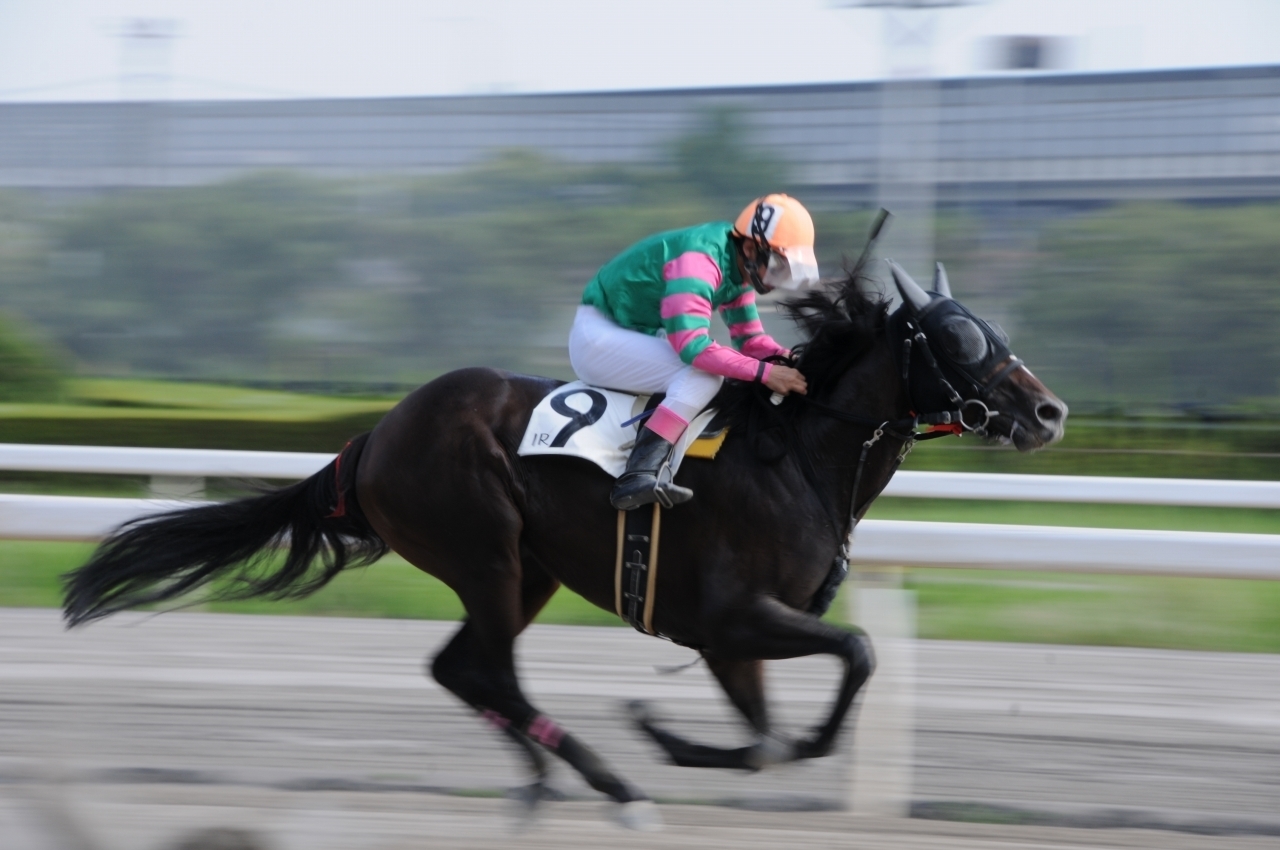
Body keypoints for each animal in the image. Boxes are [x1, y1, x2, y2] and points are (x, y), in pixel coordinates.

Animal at [60, 241, 1064, 824]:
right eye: (958, 338)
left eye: (996, 326)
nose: (1050, 412)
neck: (800, 455)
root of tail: (374, 434)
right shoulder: (731, 619)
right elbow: (855, 653)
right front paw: (660, 738)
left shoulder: (731, 640)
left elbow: (774, 736)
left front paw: (677, 738)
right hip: (484, 549)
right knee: (486, 670)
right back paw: (606, 784)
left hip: (525, 568)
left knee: (461, 667)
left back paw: (553, 777)